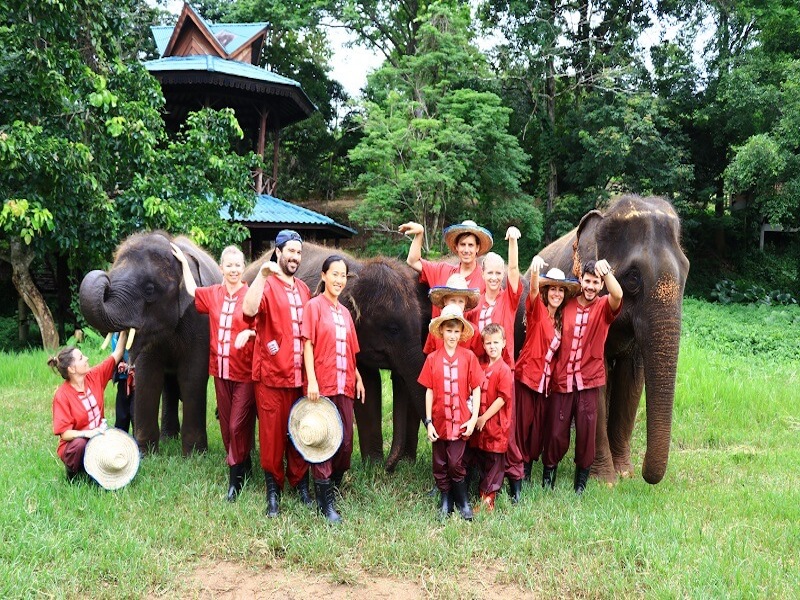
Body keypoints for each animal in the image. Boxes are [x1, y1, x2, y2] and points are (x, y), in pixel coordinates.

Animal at [79, 231, 221, 455]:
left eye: (149, 289)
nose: (105, 279)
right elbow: (148, 376)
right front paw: (146, 454)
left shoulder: (200, 320)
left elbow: (192, 376)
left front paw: (195, 455)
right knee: (168, 384)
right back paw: (168, 438)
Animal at [245, 243, 430, 470]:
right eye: (392, 329)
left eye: (422, 327)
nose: (391, 467)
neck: (358, 271)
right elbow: (367, 385)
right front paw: (375, 466)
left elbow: (368, 385)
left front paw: (373, 467)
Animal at [523, 194, 690, 484]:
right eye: (633, 277)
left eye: (687, 272)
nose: (645, 475)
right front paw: (606, 480)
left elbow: (631, 381)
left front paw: (625, 473)